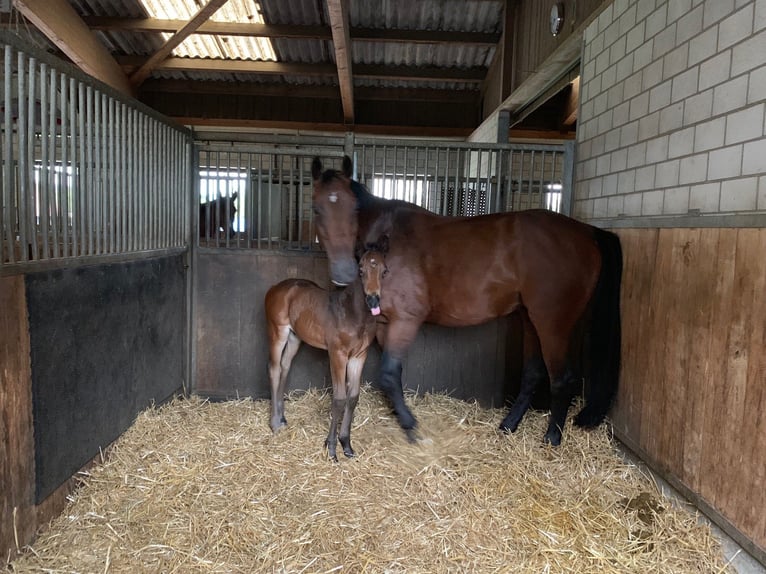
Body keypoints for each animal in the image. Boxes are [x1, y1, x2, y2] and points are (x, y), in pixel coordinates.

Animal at [312, 158, 624, 450]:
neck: (387, 240)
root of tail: (588, 232)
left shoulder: (405, 320)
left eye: (354, 208)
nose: (344, 272)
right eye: (316, 209)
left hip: (552, 323)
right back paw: (508, 425)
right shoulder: (383, 324)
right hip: (529, 318)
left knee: (562, 378)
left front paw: (412, 427)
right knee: (533, 374)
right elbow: (388, 378)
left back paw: (552, 438)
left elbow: (389, 375)